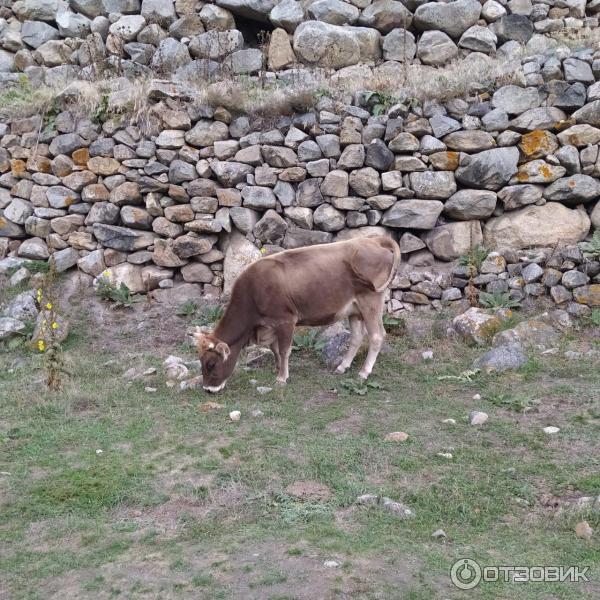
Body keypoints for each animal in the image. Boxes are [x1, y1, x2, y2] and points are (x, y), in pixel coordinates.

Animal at [193, 234, 398, 394]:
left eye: (211, 364)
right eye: (200, 361)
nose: (208, 389)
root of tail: (374, 240)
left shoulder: (286, 320)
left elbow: (284, 350)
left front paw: (282, 378)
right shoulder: (270, 325)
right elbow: (275, 349)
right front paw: (277, 369)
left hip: (371, 300)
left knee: (377, 335)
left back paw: (364, 372)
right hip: (355, 309)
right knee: (357, 336)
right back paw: (342, 366)